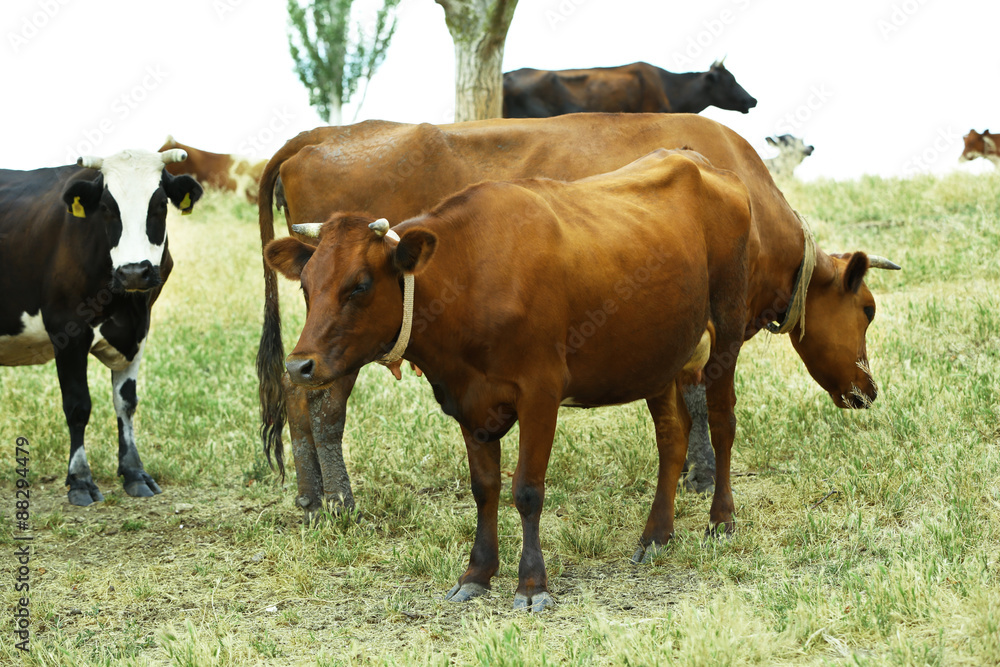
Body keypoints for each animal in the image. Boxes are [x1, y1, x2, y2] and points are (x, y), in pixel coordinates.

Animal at [0, 150, 203, 506]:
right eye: (107, 208)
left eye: (159, 205)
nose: (134, 272)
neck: (124, 304)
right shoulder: (66, 330)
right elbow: (78, 406)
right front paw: (80, 479)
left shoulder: (139, 332)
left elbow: (126, 402)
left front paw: (134, 472)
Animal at [258, 111, 900, 536]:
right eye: (868, 309)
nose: (868, 390)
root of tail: (325, 134)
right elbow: (697, 399)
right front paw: (701, 476)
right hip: (343, 341)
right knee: (323, 405)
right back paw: (341, 502)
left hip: (319, 334)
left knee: (297, 391)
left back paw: (310, 497)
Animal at [266, 150, 752, 612]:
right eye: (306, 286)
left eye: (360, 285)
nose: (299, 366)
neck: (471, 276)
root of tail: (705, 166)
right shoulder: (468, 401)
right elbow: (485, 488)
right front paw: (476, 574)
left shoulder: (540, 392)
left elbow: (527, 490)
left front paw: (532, 584)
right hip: (659, 356)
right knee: (672, 434)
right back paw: (656, 535)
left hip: (726, 332)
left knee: (723, 424)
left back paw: (721, 521)